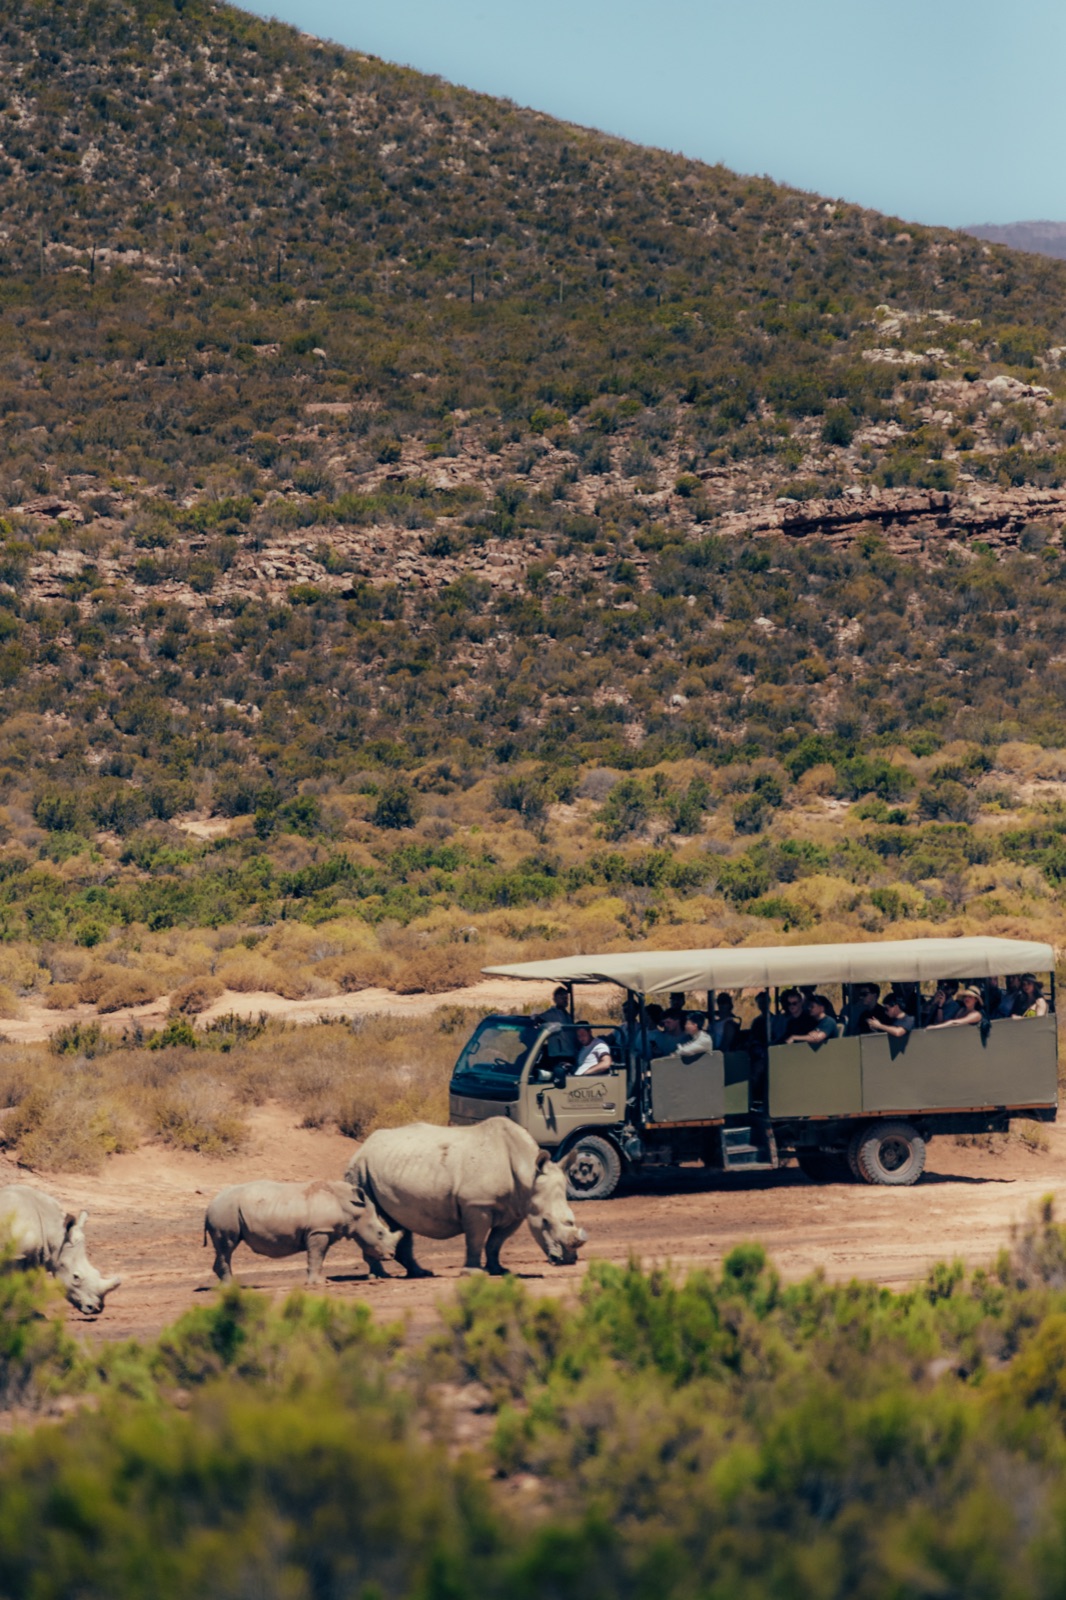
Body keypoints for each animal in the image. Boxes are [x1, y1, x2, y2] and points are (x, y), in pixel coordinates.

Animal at [203, 1178, 401, 1285]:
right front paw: (318, 1284)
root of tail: (210, 1204)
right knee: (227, 1246)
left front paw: (320, 1281)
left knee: (224, 1249)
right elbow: (316, 1256)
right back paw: (231, 1287)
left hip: (225, 1209)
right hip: (225, 1210)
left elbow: (319, 1257)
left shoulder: (323, 1231)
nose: (391, 1255)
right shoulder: (319, 1231)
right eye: (380, 1233)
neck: (351, 1207)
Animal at [345, 1117, 587, 1278]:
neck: (528, 1173)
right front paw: (473, 1273)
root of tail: (364, 1145)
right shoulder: (477, 1204)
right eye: (545, 1221)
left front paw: (499, 1270)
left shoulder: (516, 1209)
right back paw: (380, 1276)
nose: (568, 1260)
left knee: (399, 1223)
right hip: (359, 1170)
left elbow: (496, 1242)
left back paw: (420, 1273)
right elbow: (476, 1239)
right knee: (368, 1214)